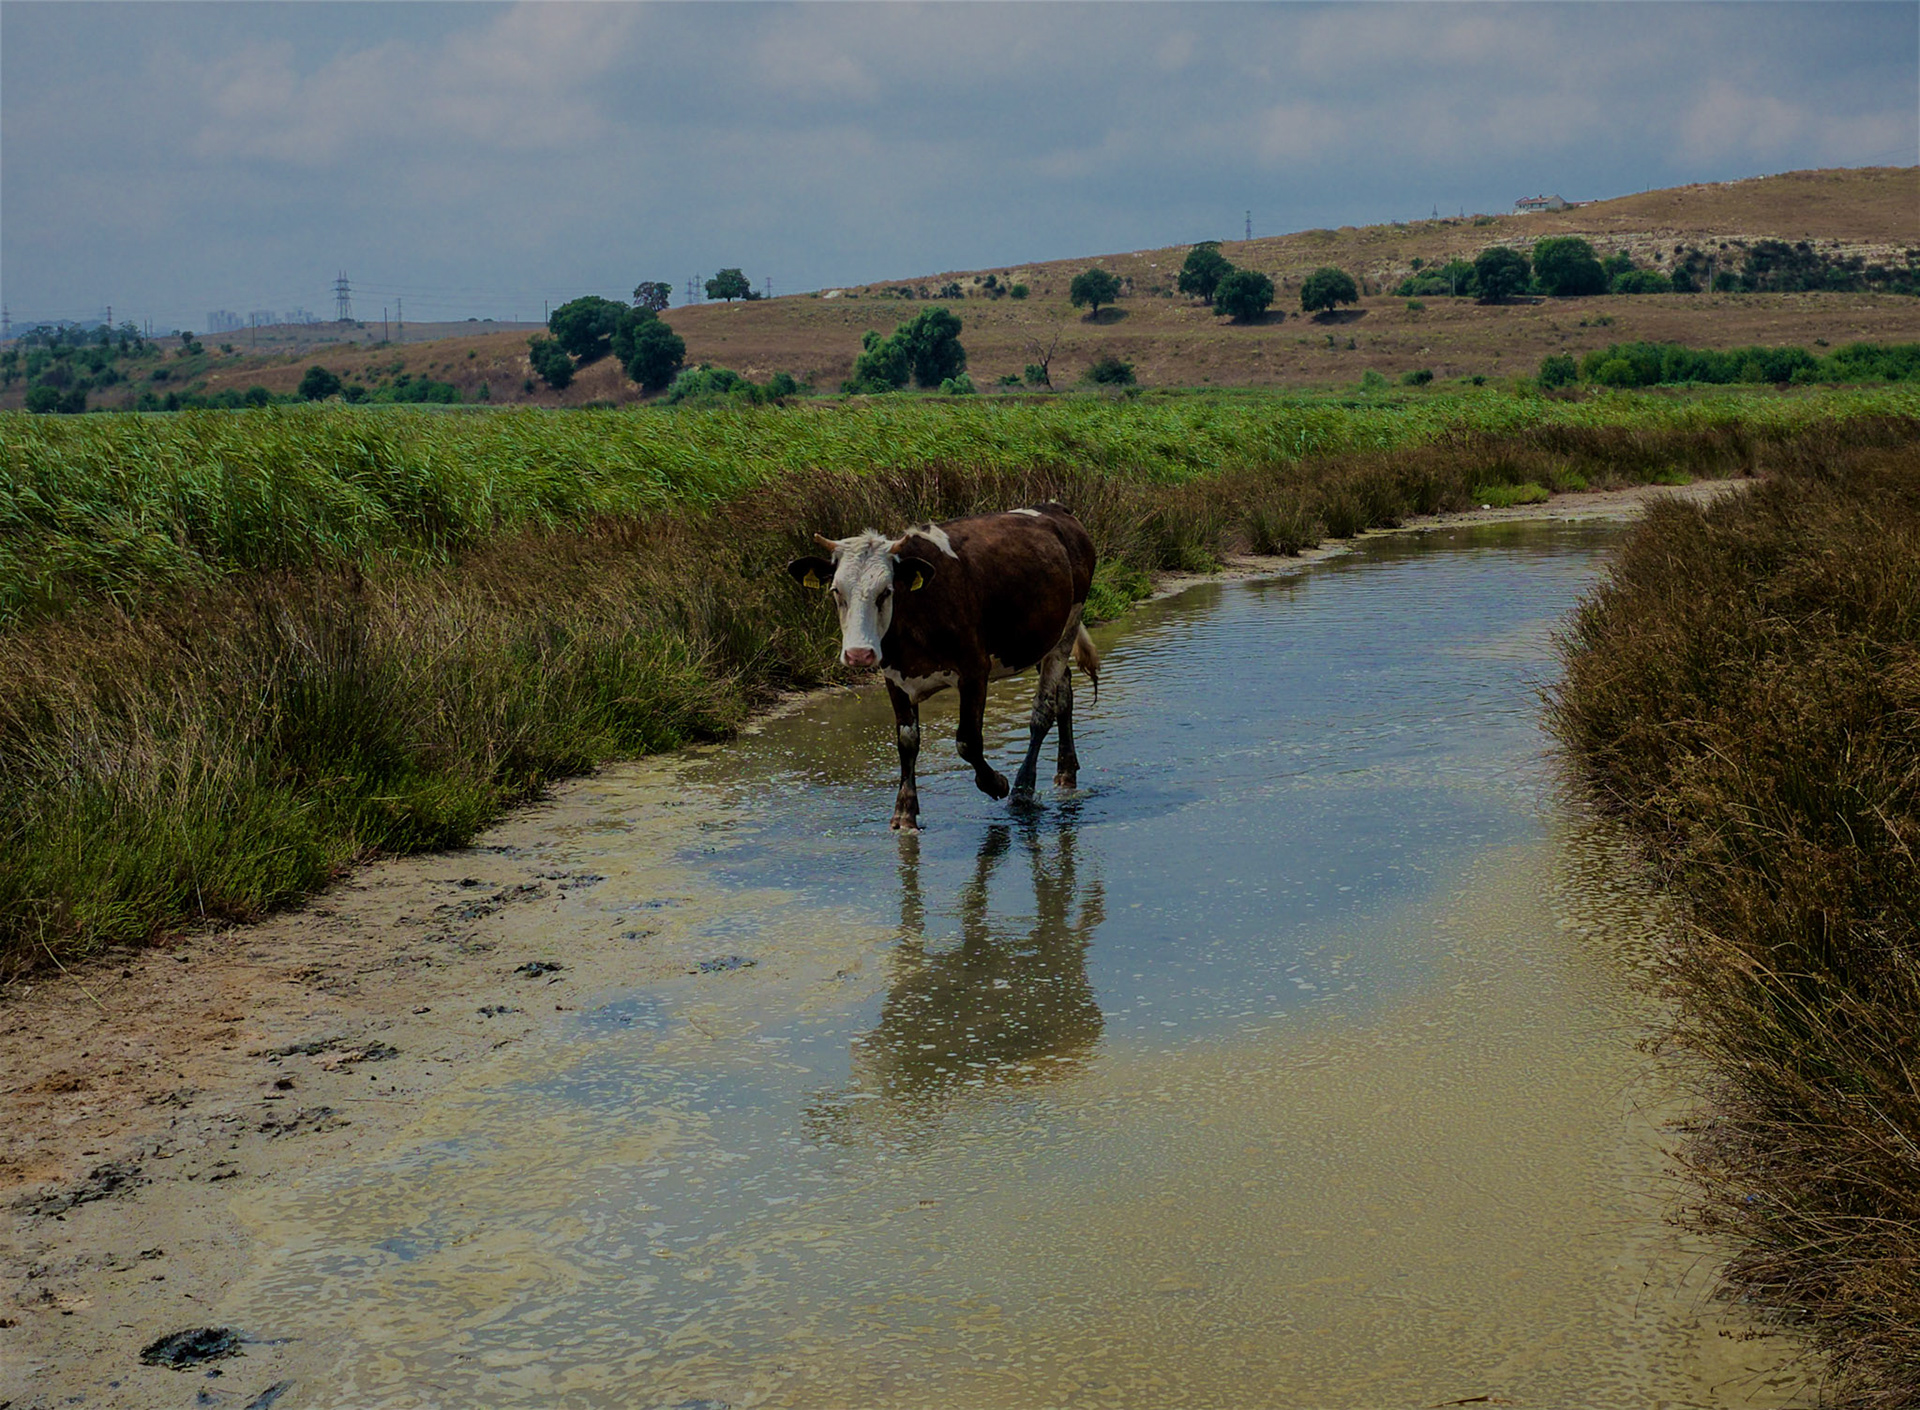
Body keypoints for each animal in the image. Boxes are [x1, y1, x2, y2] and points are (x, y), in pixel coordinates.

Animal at [787, 503, 1100, 831]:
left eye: (886, 591)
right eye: (836, 591)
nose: (859, 653)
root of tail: (1053, 509)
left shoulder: (974, 671)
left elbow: (968, 741)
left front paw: (996, 783)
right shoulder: (894, 679)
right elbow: (907, 741)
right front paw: (905, 812)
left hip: (1068, 627)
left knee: (1043, 711)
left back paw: (1023, 789)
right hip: (1041, 640)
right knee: (1064, 692)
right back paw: (1066, 772)